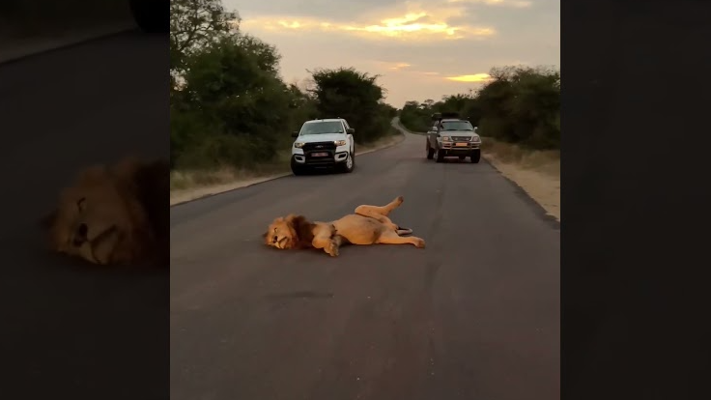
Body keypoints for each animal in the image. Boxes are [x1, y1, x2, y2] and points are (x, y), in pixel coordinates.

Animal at [264, 196, 426, 256]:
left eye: (275, 230)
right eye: (271, 240)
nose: (275, 240)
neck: (297, 238)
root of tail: (391, 227)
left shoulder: (326, 227)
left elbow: (316, 241)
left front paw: (329, 248)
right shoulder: (337, 238)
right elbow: (325, 243)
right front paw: (331, 249)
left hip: (362, 209)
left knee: (383, 209)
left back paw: (399, 199)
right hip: (386, 237)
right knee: (404, 238)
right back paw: (419, 242)